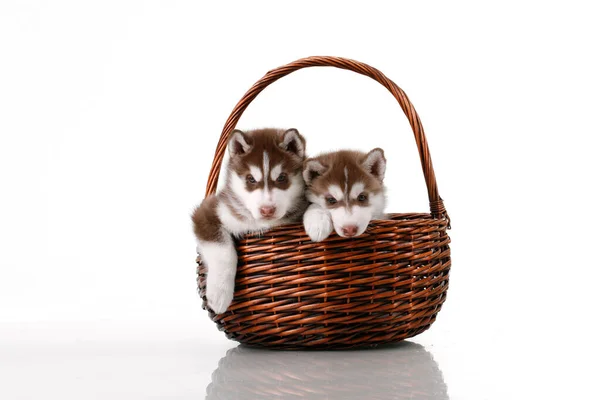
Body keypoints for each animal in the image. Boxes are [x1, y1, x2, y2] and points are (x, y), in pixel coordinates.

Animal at [192, 128, 308, 312]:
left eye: (281, 177)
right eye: (251, 179)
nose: (267, 210)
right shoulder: (208, 211)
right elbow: (223, 251)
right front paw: (219, 293)